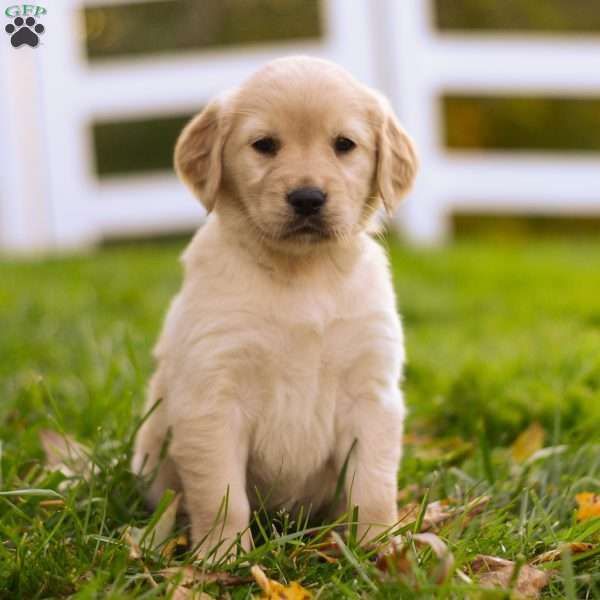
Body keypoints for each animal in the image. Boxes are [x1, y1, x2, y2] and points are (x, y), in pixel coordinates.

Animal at [134, 54, 420, 560]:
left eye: (344, 145)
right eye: (264, 145)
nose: (307, 198)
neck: (300, 274)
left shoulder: (371, 394)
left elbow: (372, 485)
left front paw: (379, 547)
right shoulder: (214, 396)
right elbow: (222, 495)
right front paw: (222, 555)